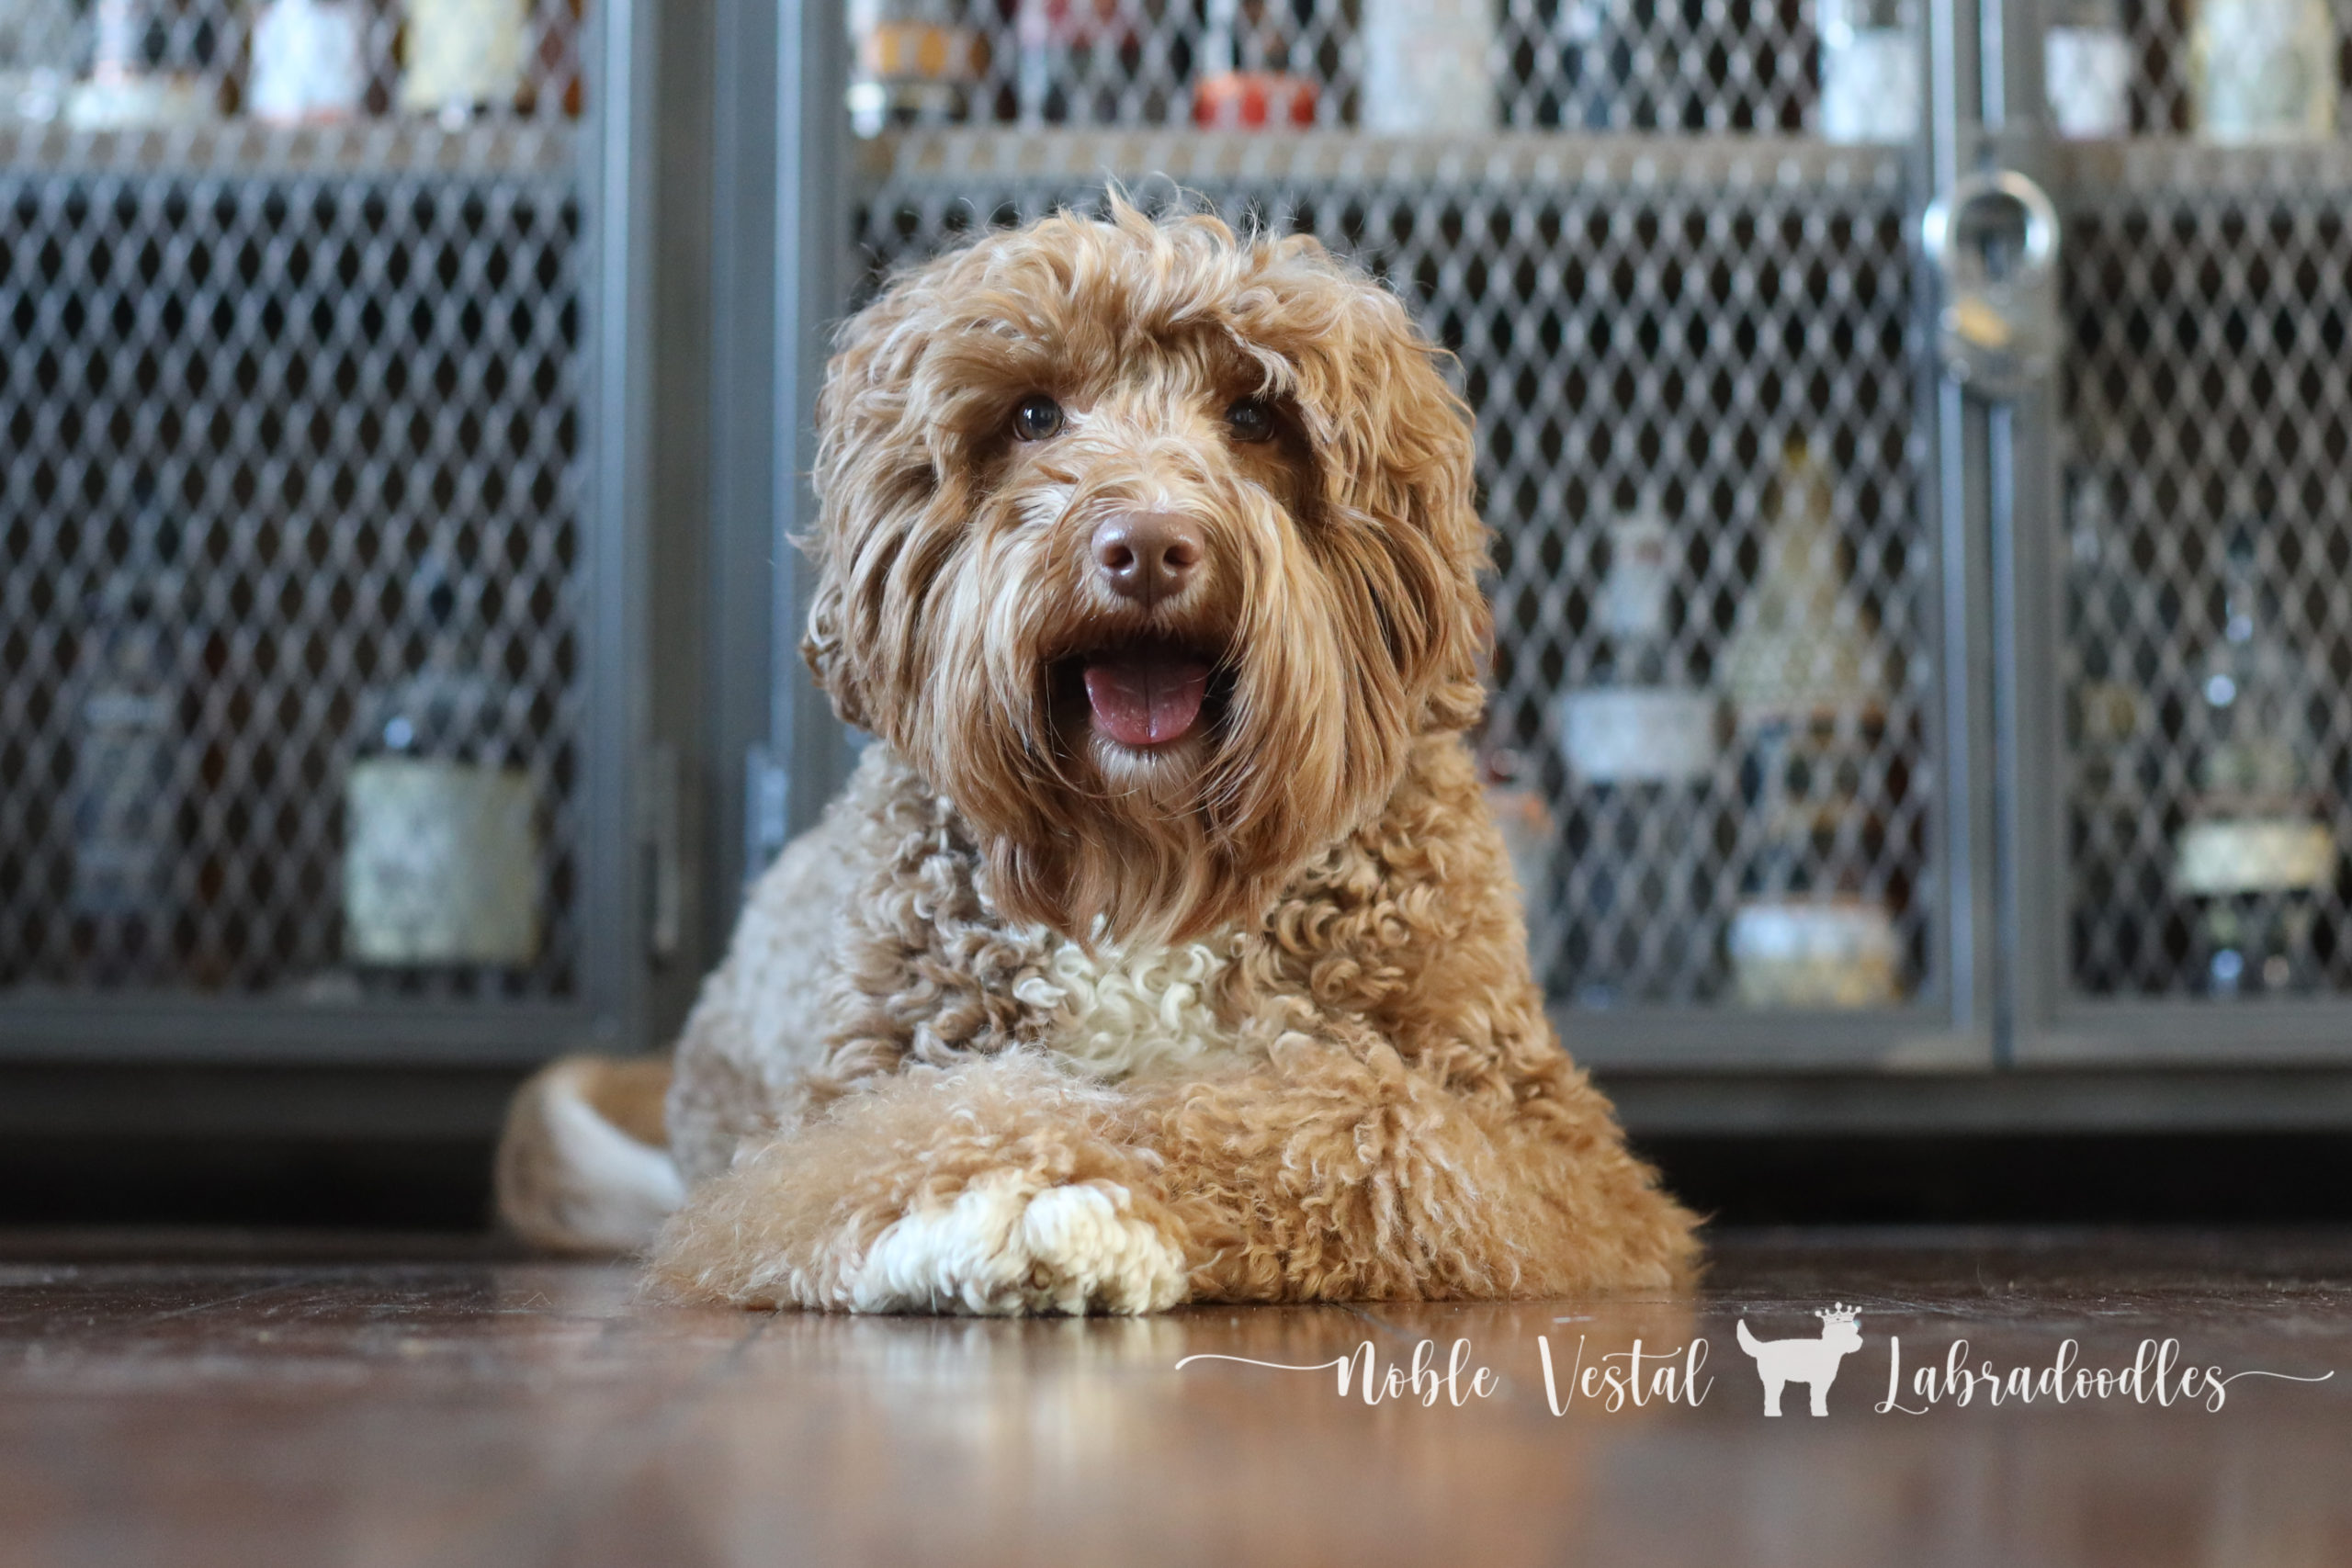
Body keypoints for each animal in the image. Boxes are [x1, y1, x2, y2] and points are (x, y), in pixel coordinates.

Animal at [496, 199, 1700, 1314]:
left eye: (1255, 414)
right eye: (1035, 413)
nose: (1150, 546)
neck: (1144, 851)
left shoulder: (1538, 1141)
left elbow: (1338, 1121)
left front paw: (1112, 1190)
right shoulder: (847, 1103)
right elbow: (926, 1126)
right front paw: (989, 1197)